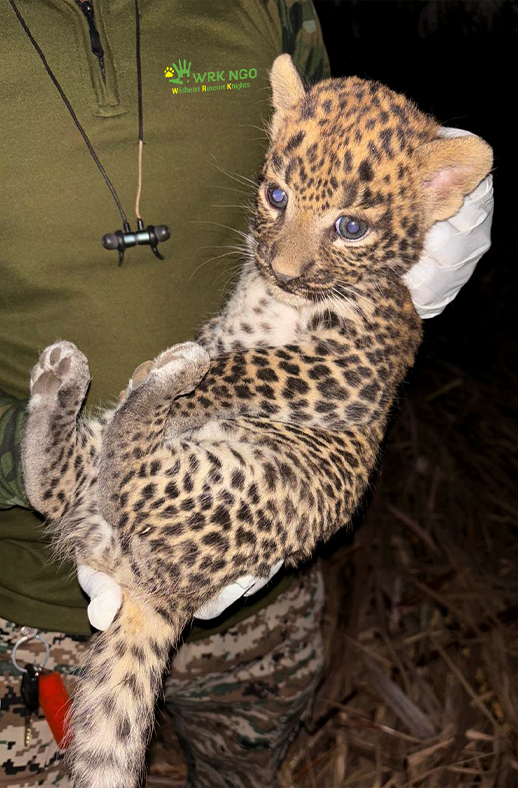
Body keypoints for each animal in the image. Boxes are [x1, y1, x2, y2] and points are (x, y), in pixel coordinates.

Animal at [21, 54, 492, 788]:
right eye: (275, 196)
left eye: (350, 228)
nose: (283, 268)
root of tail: (162, 597)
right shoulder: (238, 322)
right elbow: (226, 345)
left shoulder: (348, 368)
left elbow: (245, 366)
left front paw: (188, 377)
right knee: (64, 480)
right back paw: (68, 383)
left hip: (223, 488)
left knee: (122, 462)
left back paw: (158, 380)